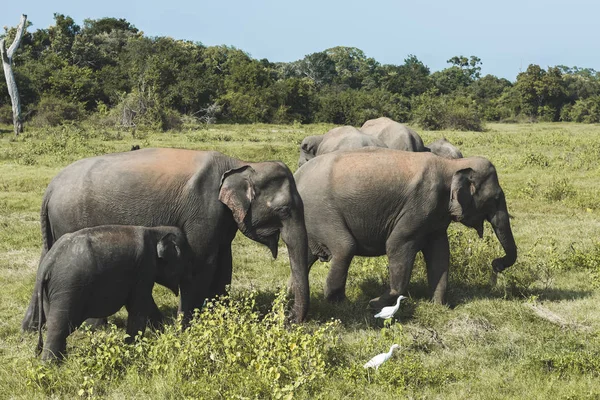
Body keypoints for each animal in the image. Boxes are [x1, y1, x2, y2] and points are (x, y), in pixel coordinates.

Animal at [21, 148, 312, 332]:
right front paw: (187, 327)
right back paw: (97, 327)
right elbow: (202, 263)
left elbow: (224, 264)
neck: (240, 164)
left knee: (46, 258)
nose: (288, 321)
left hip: (57, 226)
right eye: (284, 210)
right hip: (72, 218)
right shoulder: (203, 212)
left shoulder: (222, 218)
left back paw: (31, 327)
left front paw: (218, 319)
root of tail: (50, 189)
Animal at [35, 227, 190, 360]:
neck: (155, 231)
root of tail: (47, 265)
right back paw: (51, 365)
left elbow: (146, 305)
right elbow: (139, 307)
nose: (177, 333)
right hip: (68, 287)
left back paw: (61, 360)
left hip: (50, 293)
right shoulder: (144, 268)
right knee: (59, 327)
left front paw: (164, 335)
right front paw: (132, 349)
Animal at [294, 148, 516, 308]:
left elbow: (440, 253)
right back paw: (339, 303)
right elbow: (397, 244)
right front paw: (376, 304)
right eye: (496, 199)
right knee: (345, 247)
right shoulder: (420, 205)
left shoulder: (436, 217)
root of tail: (297, 175)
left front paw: (439, 307)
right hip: (321, 210)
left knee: (306, 257)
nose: (496, 264)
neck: (451, 164)